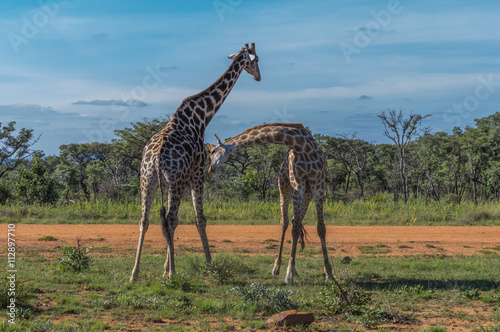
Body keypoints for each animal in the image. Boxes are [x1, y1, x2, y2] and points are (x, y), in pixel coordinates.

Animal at [129, 42, 262, 282]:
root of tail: (156, 158)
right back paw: (173, 273)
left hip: (148, 181)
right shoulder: (198, 173)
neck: (202, 117)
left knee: (145, 220)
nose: (258, 76)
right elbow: (200, 219)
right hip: (175, 181)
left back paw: (134, 273)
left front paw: (163, 268)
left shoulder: (179, 180)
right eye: (256, 60)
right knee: (170, 219)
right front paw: (209, 264)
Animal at [205, 123, 334, 284]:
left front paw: (329, 273)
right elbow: (295, 229)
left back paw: (293, 269)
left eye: (213, 151)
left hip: (308, 193)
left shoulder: (318, 185)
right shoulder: (297, 185)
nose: (210, 168)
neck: (301, 145)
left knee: (294, 221)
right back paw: (277, 267)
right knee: (285, 222)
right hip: (284, 186)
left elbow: (321, 228)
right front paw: (289, 274)